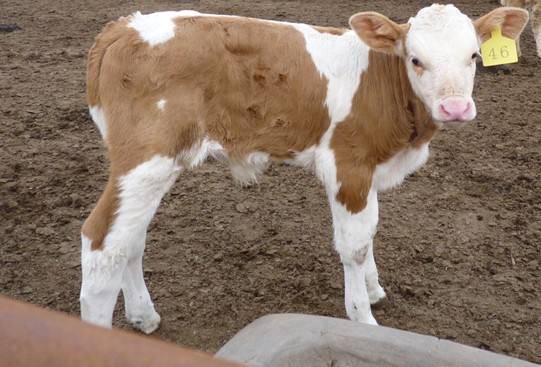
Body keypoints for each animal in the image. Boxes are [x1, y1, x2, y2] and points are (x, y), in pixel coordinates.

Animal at [81, 3, 528, 334]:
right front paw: (363, 317)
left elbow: (371, 228)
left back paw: (144, 316)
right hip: (145, 159)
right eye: (415, 59)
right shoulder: (347, 164)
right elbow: (355, 245)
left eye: (474, 56)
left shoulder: (369, 170)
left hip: (145, 167)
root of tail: (124, 26)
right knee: (103, 241)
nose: (455, 108)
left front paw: (374, 288)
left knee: (130, 236)